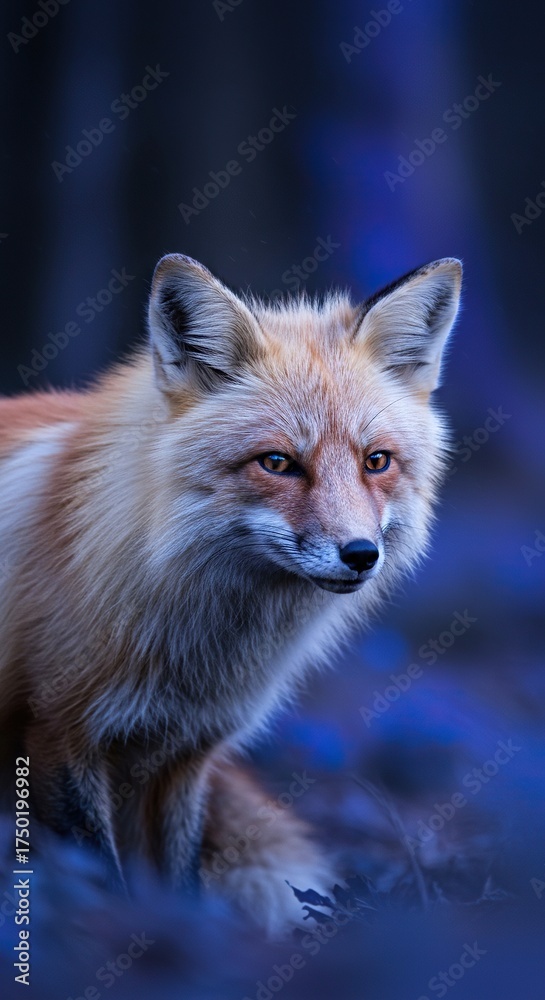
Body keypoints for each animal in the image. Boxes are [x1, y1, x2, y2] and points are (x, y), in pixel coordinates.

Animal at [0, 253, 462, 935]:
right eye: (277, 463)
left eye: (376, 462)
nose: (360, 555)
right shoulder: (60, 731)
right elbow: (102, 878)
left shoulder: (183, 753)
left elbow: (181, 881)